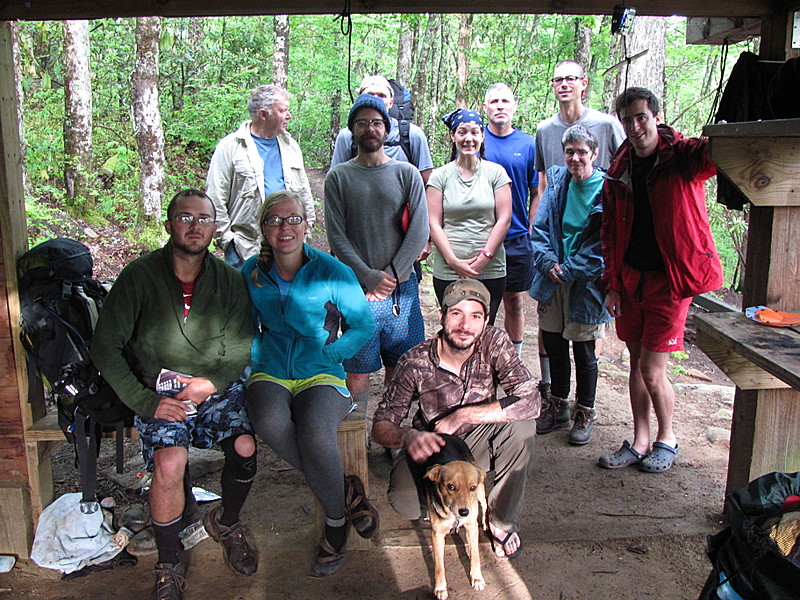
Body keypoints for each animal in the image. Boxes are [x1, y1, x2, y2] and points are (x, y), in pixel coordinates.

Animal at [424, 434, 488, 596]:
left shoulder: (471, 526)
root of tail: (447, 435)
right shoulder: (437, 534)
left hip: (481, 493)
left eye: (472, 487)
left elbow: (476, 556)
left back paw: (486, 523)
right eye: (451, 487)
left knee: (485, 504)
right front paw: (440, 587)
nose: (464, 512)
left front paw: (477, 578)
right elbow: (439, 565)